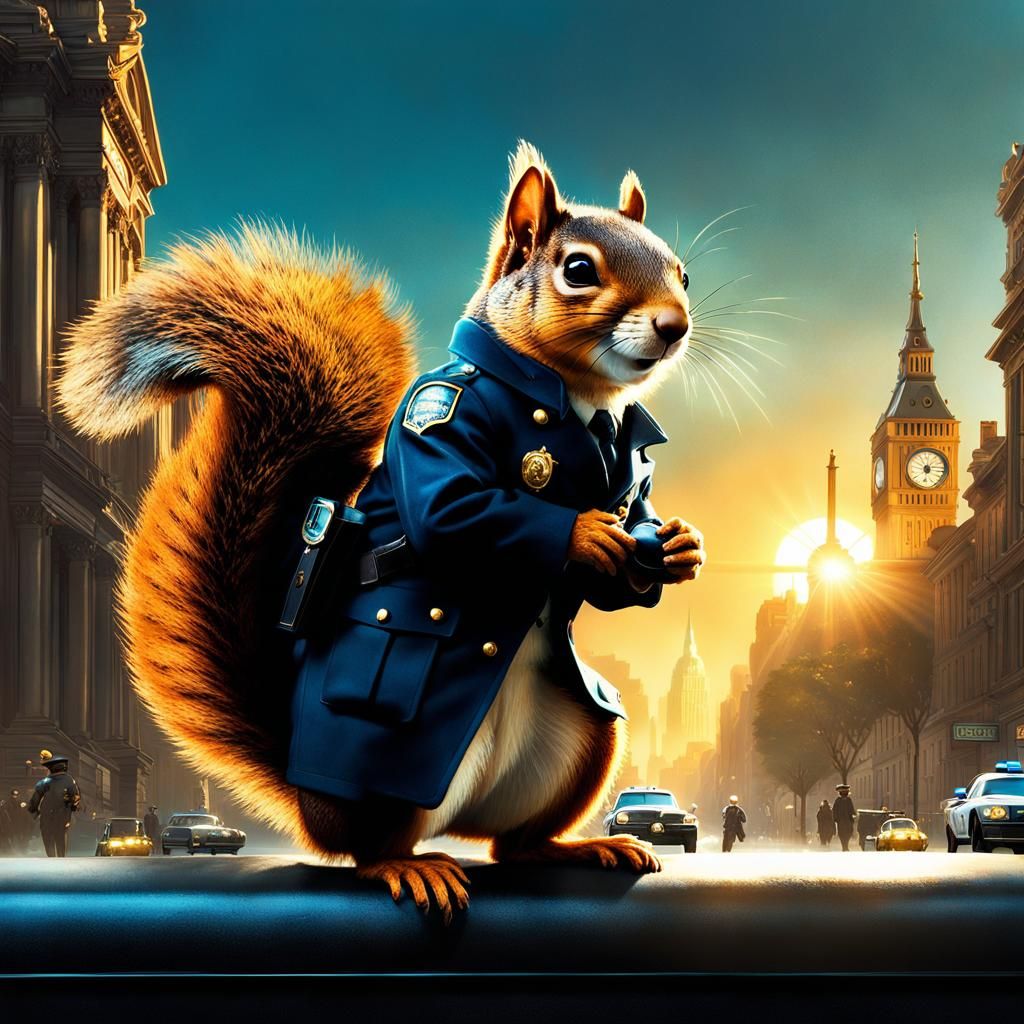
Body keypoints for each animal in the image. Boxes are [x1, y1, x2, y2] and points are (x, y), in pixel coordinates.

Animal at [57, 141, 705, 922]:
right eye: (578, 269)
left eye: (682, 272)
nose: (674, 324)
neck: (573, 397)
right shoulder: (441, 414)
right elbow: (455, 511)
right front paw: (585, 534)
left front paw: (673, 550)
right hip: (376, 775)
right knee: (366, 847)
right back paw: (409, 866)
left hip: (580, 740)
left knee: (515, 845)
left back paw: (582, 846)